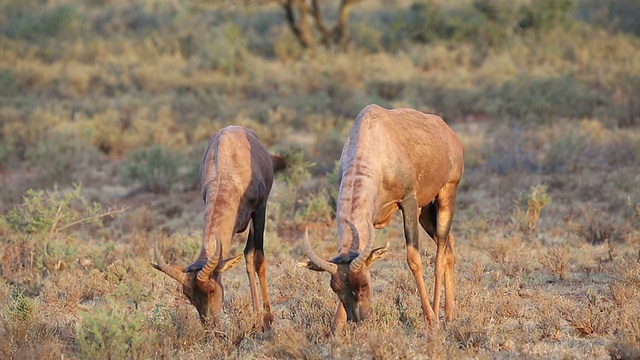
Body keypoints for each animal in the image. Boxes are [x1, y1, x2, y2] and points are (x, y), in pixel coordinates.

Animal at [151, 126, 284, 332]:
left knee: (250, 254)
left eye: (211, 290)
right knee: (247, 253)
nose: (210, 328)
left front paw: (268, 322)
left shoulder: (259, 210)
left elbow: (259, 260)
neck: (227, 170)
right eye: (188, 295)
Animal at [302, 104, 462, 332]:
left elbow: (413, 258)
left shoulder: (408, 201)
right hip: (424, 210)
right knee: (450, 243)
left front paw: (430, 319)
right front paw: (336, 325)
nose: (358, 318)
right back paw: (449, 315)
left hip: (446, 193)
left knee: (440, 250)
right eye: (335, 287)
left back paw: (437, 315)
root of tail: (447, 130)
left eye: (364, 283)